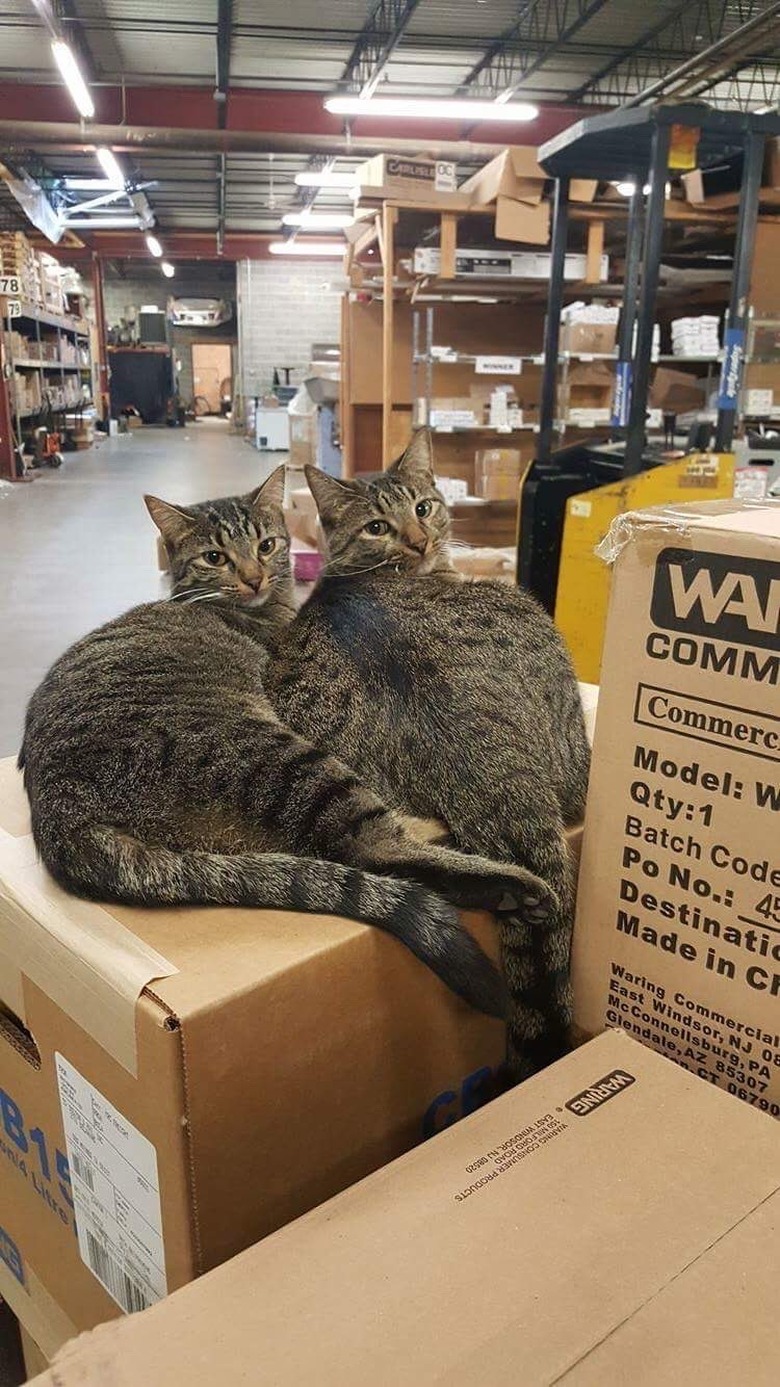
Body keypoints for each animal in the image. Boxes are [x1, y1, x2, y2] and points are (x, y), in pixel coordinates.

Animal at [18, 468, 552, 1020]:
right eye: (215, 557)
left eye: (267, 544)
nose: (254, 576)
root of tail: (61, 819)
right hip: (286, 761)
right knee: (371, 850)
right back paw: (509, 886)